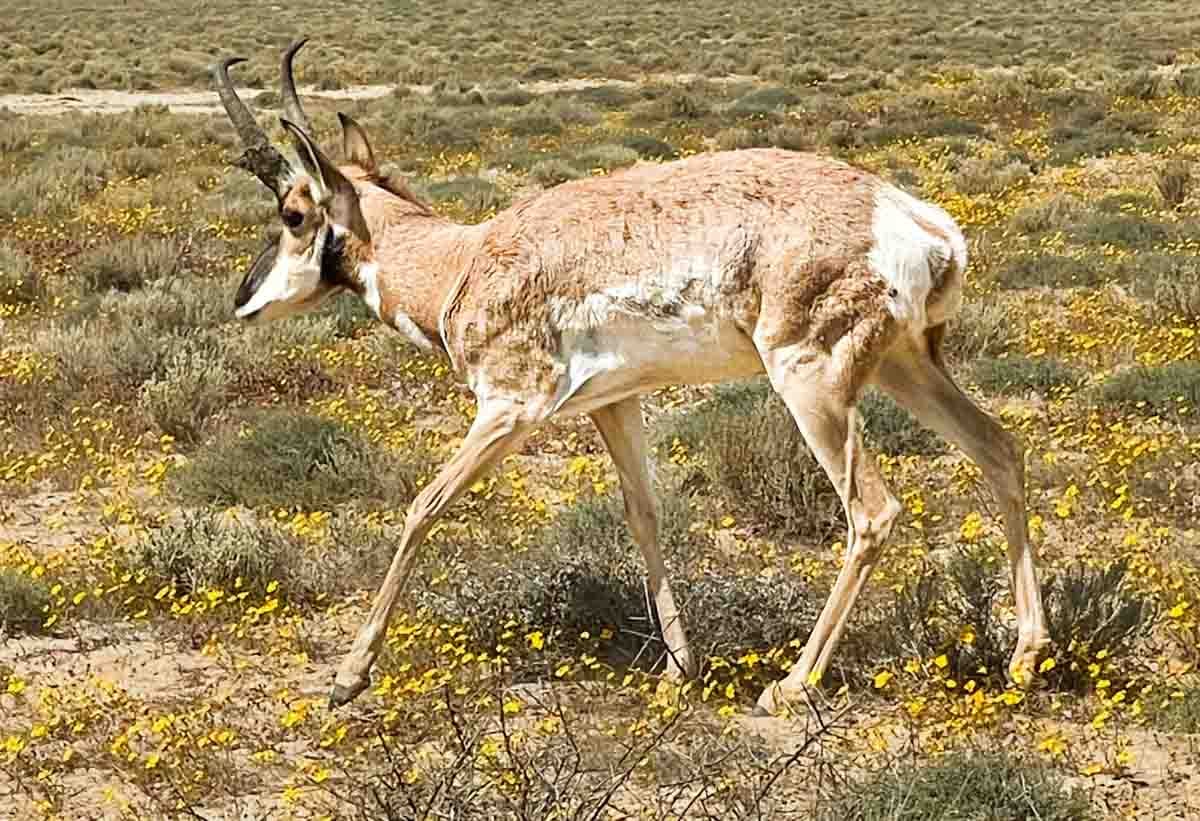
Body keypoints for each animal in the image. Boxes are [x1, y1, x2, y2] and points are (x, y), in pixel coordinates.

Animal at [211, 41, 1046, 715]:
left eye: (292, 213)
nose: (241, 301)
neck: (465, 260)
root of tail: (914, 218)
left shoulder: (509, 410)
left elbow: (423, 507)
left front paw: (347, 676)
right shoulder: (615, 406)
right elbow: (643, 514)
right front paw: (681, 666)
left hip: (813, 384)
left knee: (873, 511)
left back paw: (790, 684)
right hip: (907, 367)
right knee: (999, 447)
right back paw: (1024, 656)